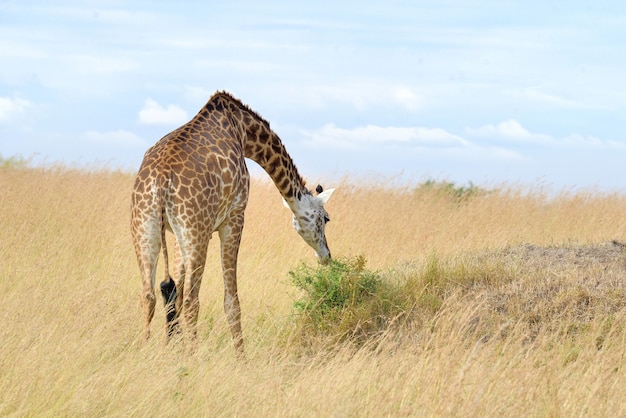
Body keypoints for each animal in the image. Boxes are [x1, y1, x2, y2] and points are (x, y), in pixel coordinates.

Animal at [130, 90, 334, 352]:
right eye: (326, 219)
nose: (326, 256)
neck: (244, 130)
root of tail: (161, 179)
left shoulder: (176, 234)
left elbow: (176, 292)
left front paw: (172, 347)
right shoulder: (235, 216)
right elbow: (231, 301)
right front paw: (241, 357)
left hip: (145, 228)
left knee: (149, 295)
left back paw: (143, 352)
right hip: (196, 231)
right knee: (192, 300)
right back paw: (192, 356)